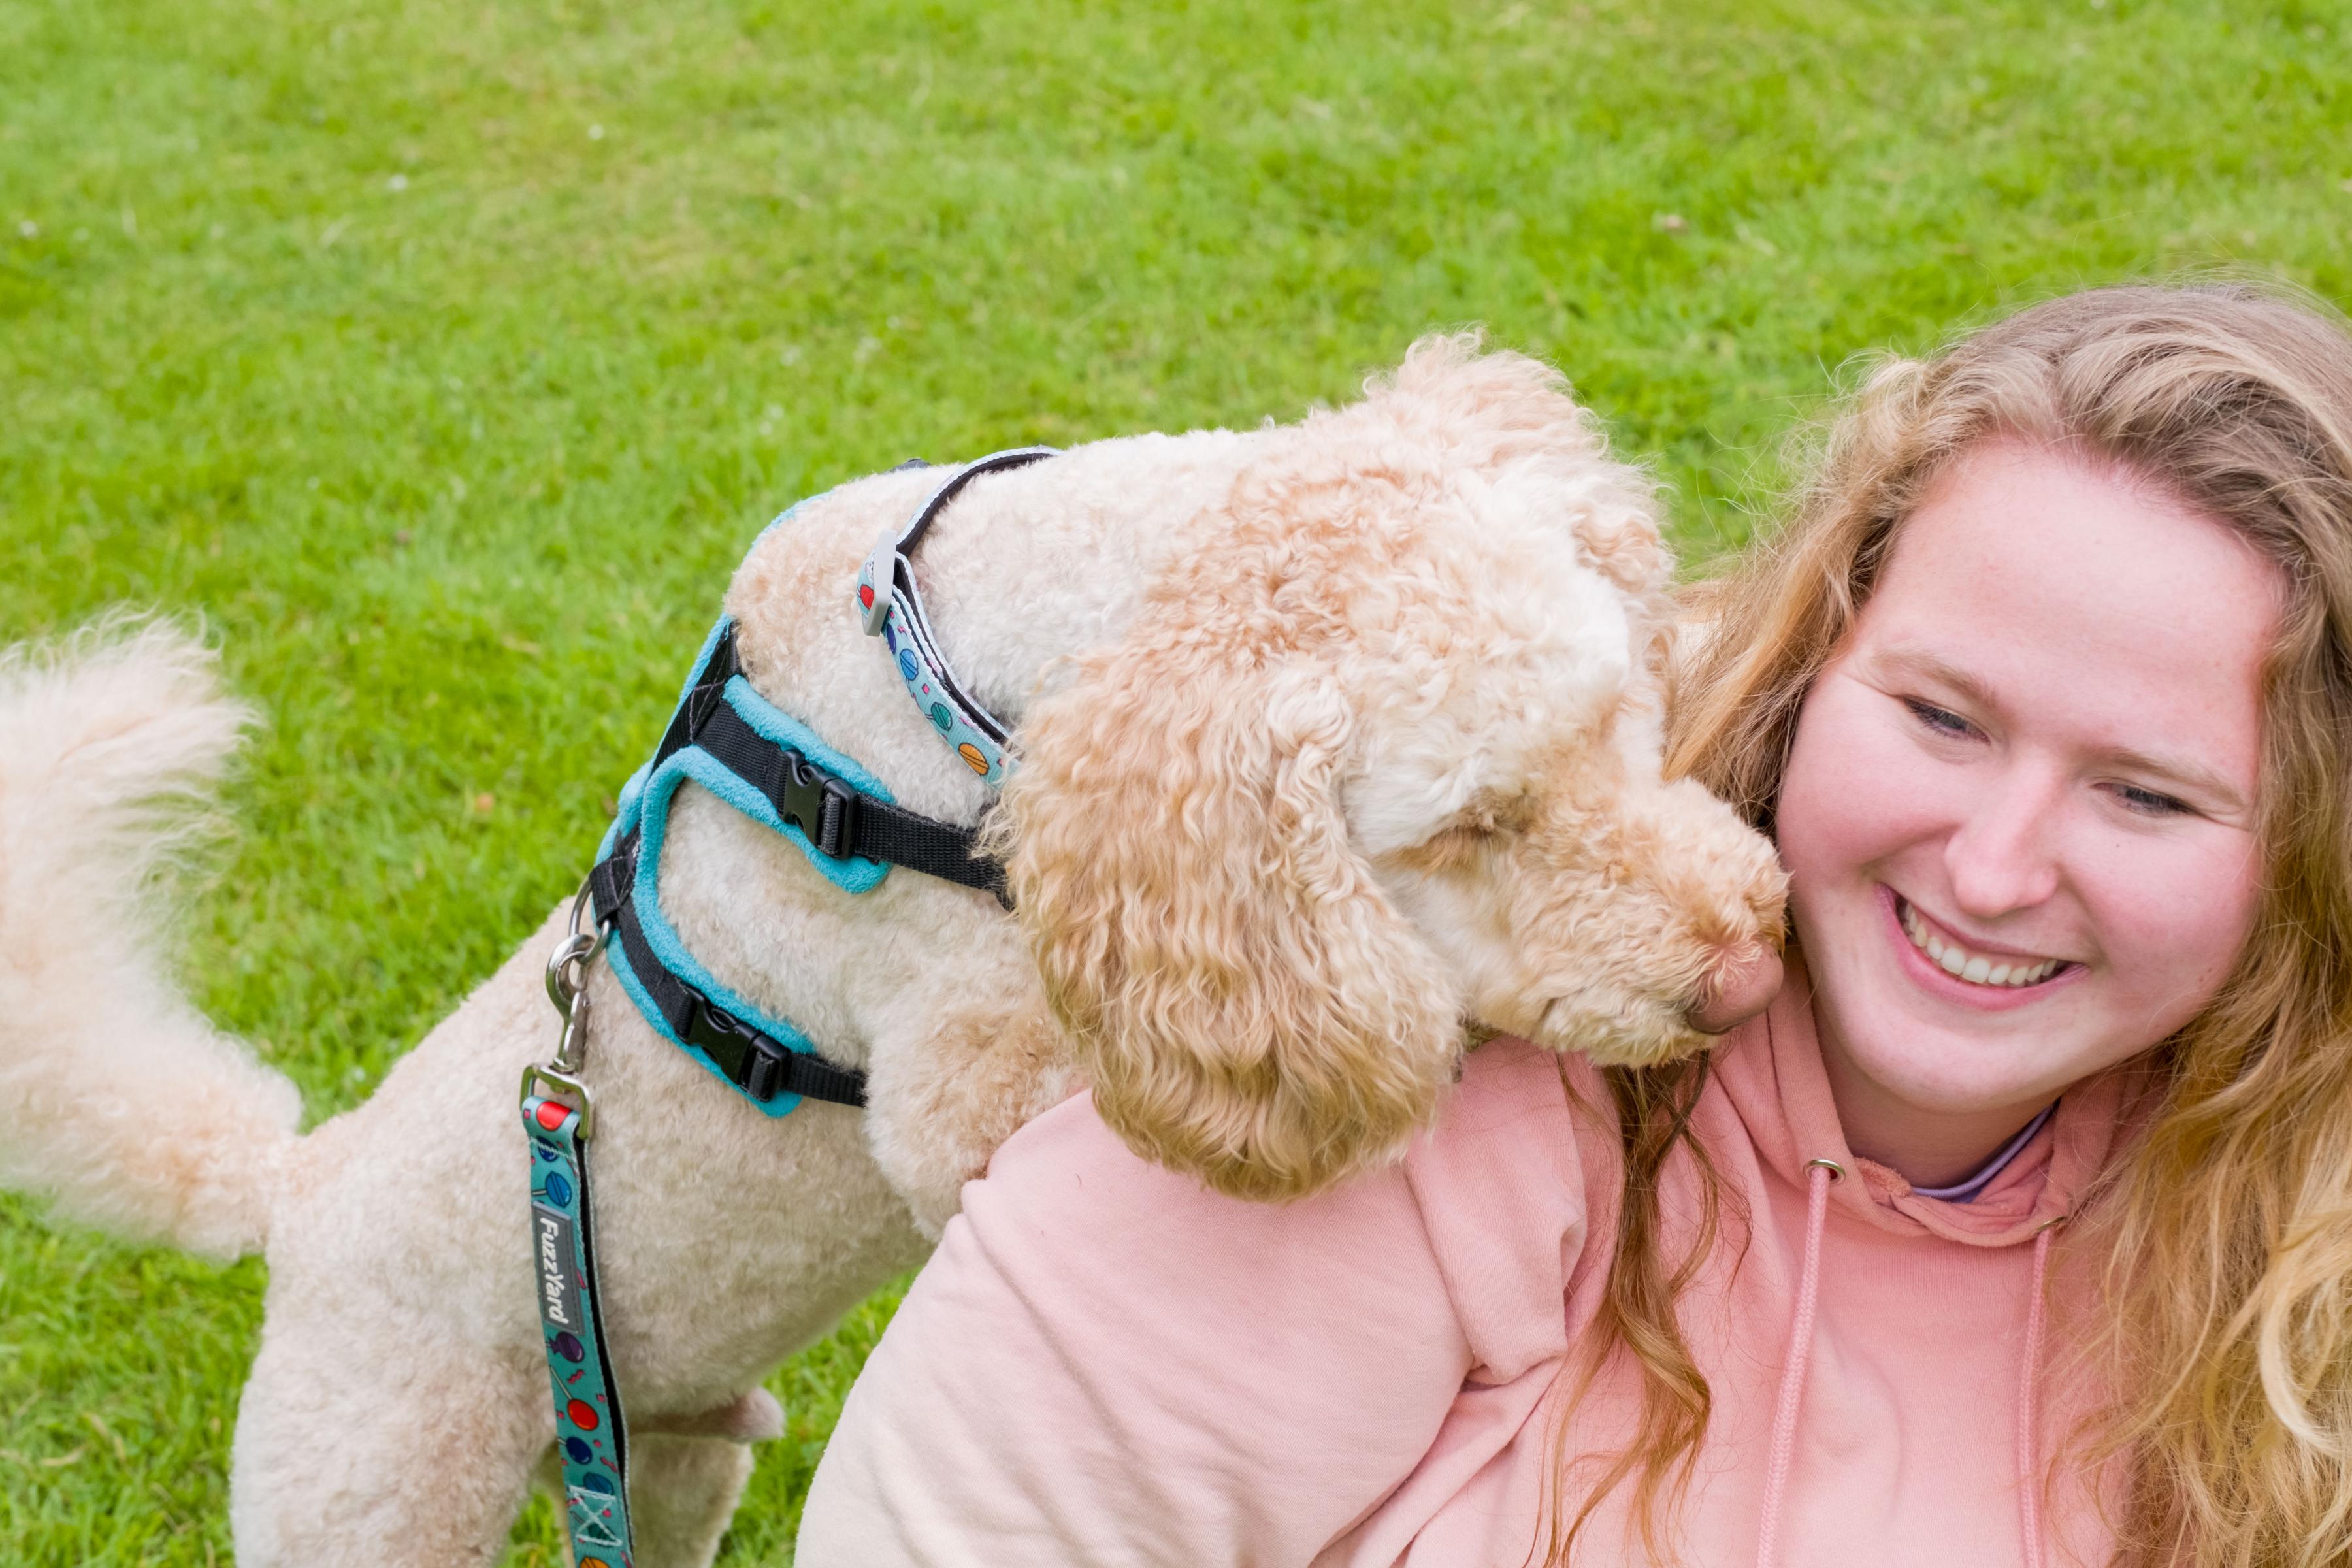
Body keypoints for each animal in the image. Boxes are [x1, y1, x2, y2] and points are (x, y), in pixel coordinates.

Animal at [0, 338, 1778, 1561]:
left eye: (1624, 710)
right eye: (1468, 826)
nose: (1747, 969)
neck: (941, 667)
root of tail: (295, 1191)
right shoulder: (961, 1098)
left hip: (675, 1448)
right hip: (376, 1488)